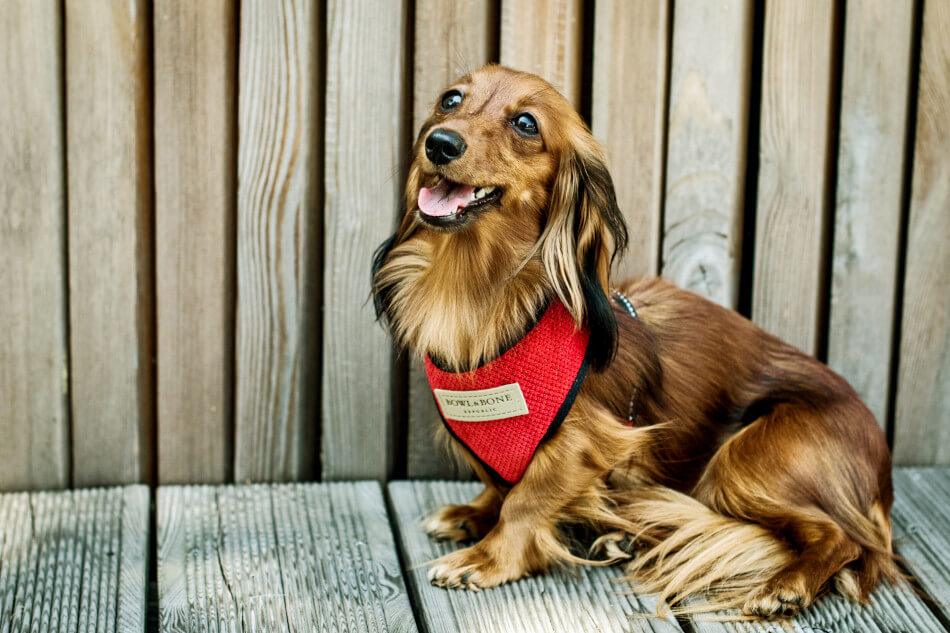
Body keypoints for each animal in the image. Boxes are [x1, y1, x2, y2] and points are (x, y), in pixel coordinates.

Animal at [372, 65, 900, 616]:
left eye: (525, 123)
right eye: (450, 99)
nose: (440, 143)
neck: (477, 291)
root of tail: (882, 471)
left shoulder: (586, 445)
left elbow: (525, 499)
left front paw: (488, 557)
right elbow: (500, 486)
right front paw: (474, 513)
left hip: (747, 458)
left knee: (842, 537)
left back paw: (787, 584)